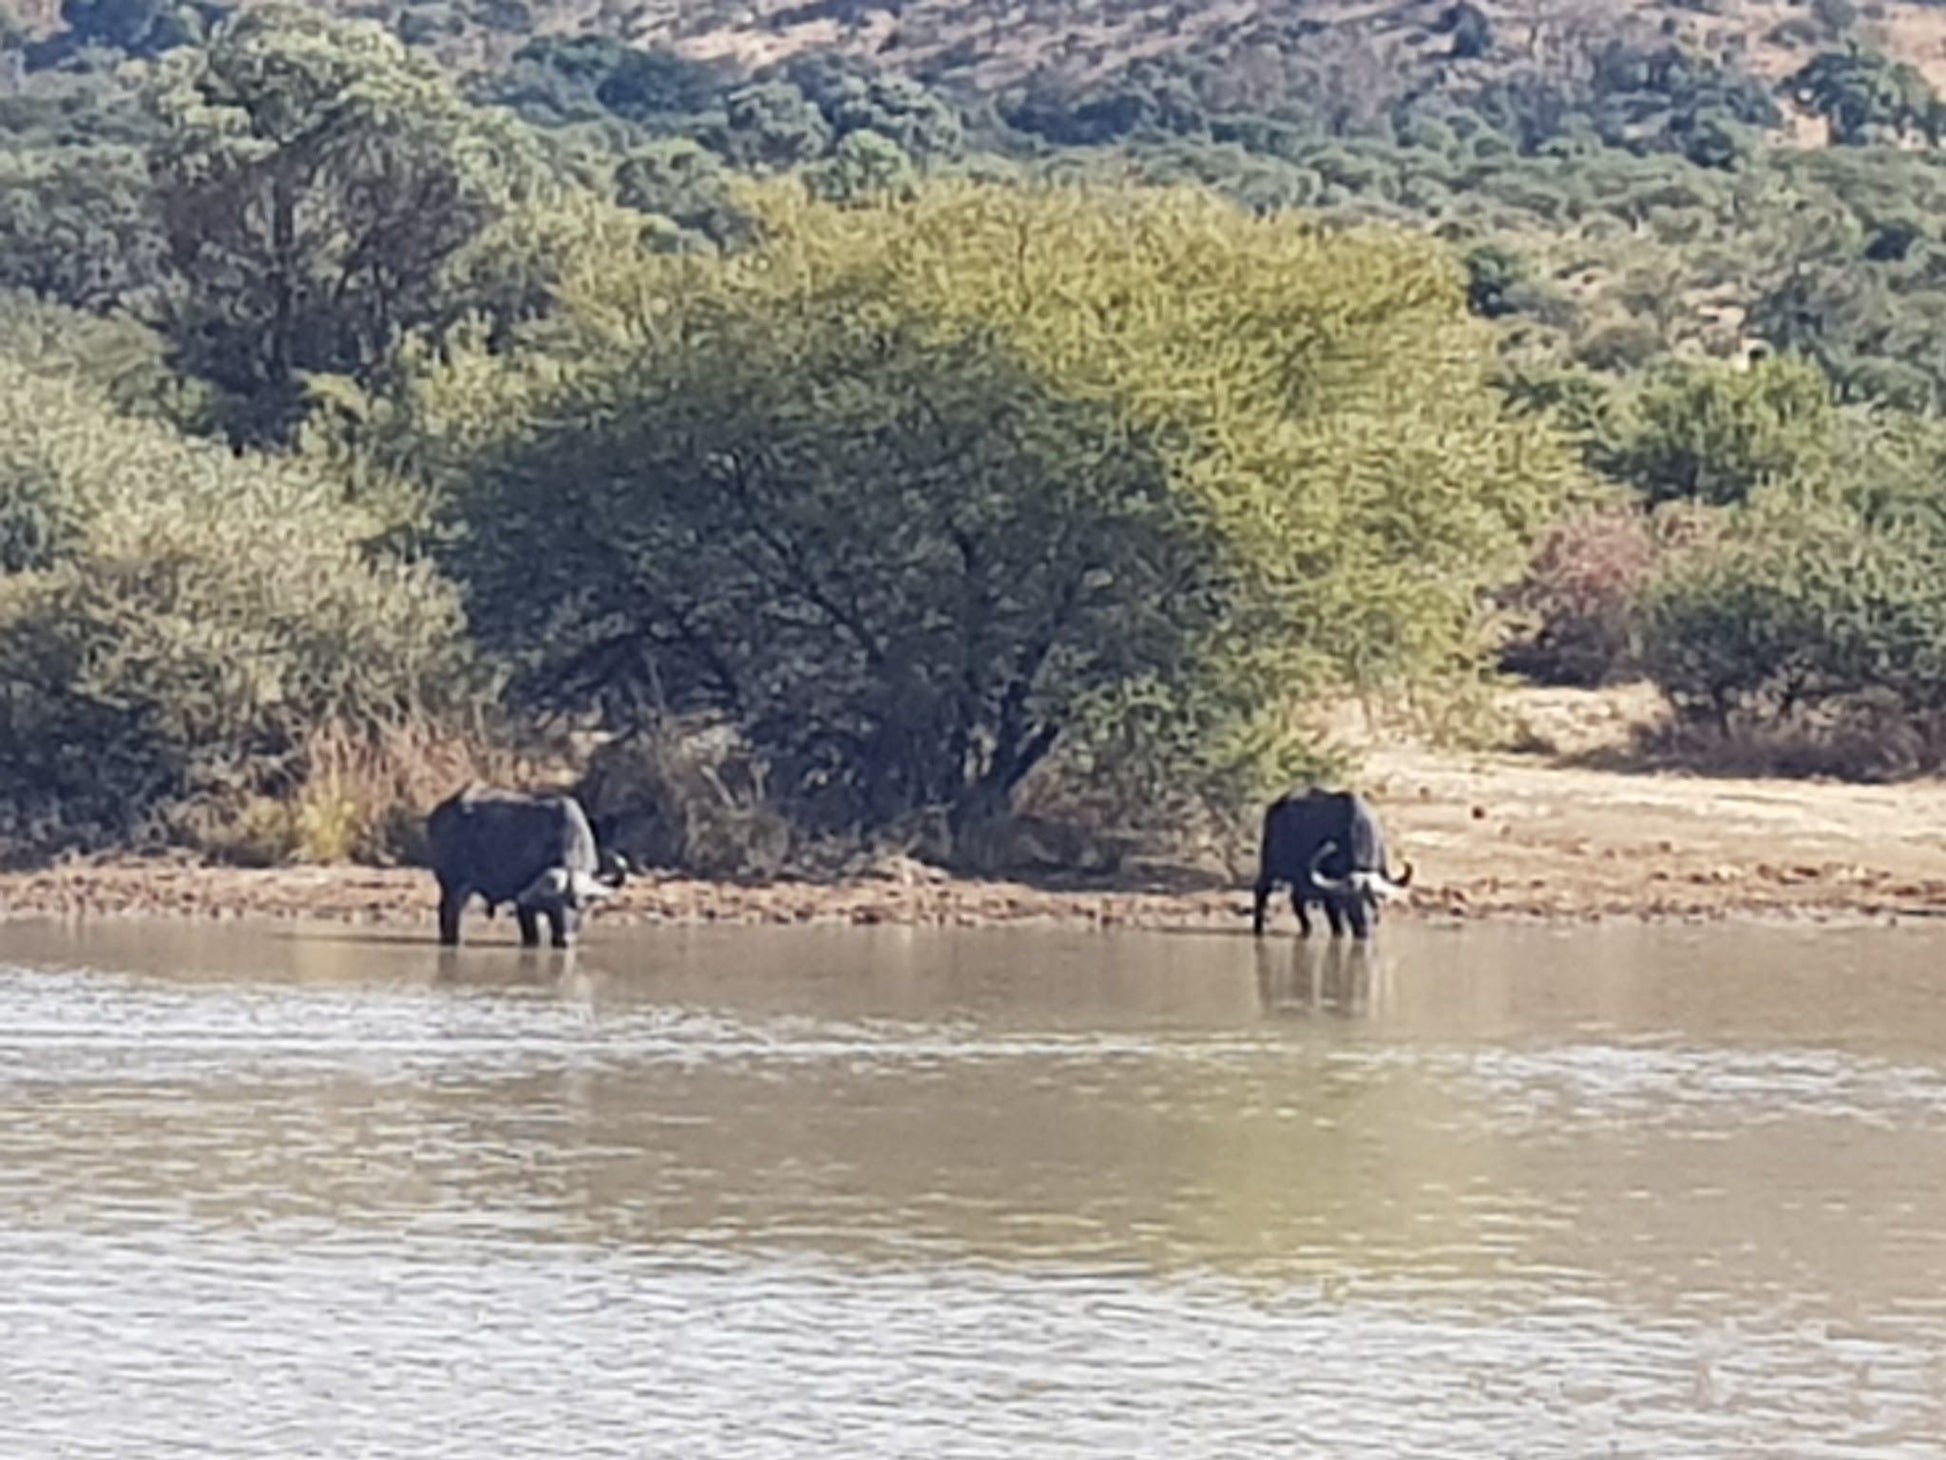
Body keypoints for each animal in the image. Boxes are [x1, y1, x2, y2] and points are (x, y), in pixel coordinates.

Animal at [422, 790, 626, 949]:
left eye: (581, 906)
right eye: (552, 908)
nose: (564, 941)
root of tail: (440, 813)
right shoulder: (525, 906)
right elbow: (531, 935)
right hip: (454, 885)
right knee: (450, 915)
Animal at [1245, 794, 1416, 942]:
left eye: (1378, 900)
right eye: (1351, 904)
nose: (1364, 930)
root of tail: (1276, 807)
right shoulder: (1331, 894)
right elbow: (1336, 923)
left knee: (1296, 899)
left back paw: (1307, 929)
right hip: (1270, 865)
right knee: (1261, 890)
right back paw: (1258, 929)